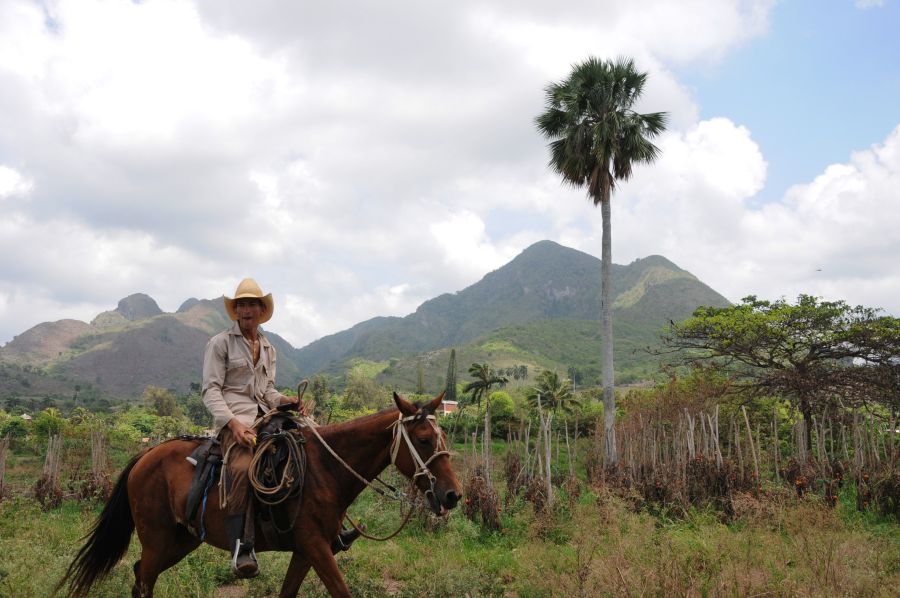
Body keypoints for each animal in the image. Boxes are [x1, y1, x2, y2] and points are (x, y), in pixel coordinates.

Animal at [59, 394, 460, 598]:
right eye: (423, 440)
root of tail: (146, 455)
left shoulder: (308, 550)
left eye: (444, 438)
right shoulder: (315, 547)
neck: (325, 470)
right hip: (157, 538)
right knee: (144, 578)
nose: (453, 495)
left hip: (180, 539)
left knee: (142, 574)